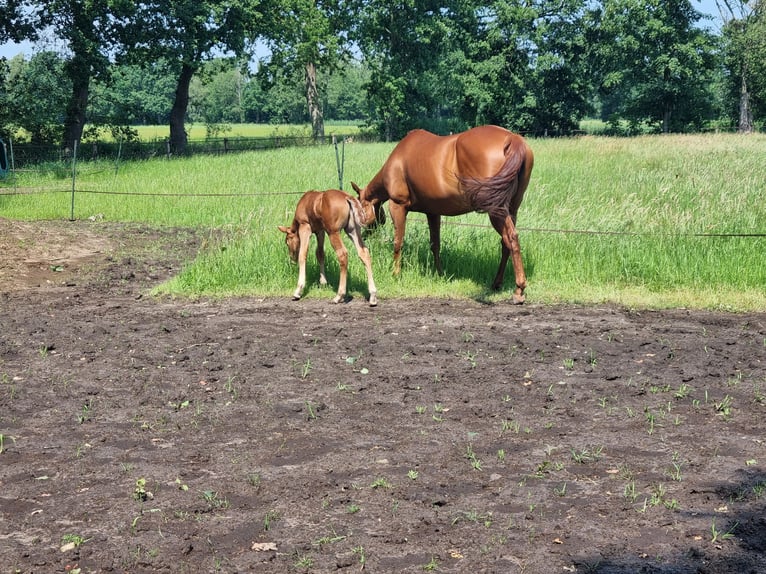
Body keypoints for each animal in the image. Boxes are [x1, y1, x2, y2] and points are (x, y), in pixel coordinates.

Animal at [351, 125, 534, 304]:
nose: (364, 236)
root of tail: (513, 139)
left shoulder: (398, 207)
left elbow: (398, 243)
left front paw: (395, 274)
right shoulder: (433, 213)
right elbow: (435, 244)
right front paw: (440, 273)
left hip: (496, 210)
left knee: (511, 238)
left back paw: (519, 289)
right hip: (512, 210)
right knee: (506, 243)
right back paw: (497, 283)